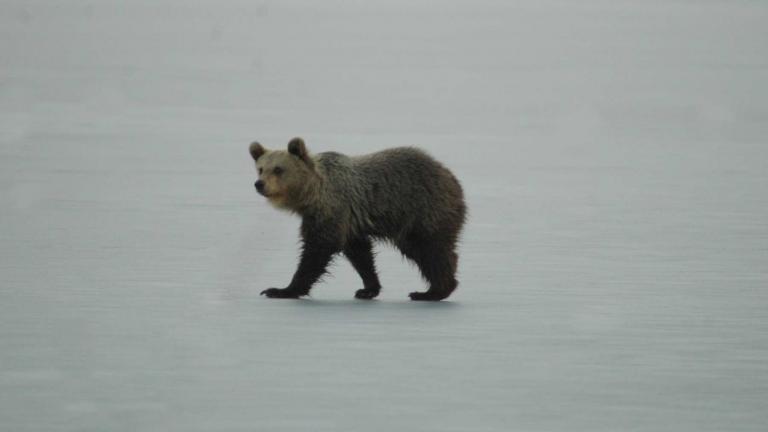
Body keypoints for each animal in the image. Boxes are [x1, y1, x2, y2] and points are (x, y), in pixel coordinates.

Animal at [250, 138, 468, 300]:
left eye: (278, 169)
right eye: (260, 168)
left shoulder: (332, 209)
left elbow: (318, 248)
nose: (259, 184)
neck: (312, 194)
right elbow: (359, 252)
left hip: (422, 209)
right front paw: (368, 288)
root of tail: (452, 179)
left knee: (429, 249)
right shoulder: (349, 221)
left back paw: (432, 291)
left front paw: (281, 290)